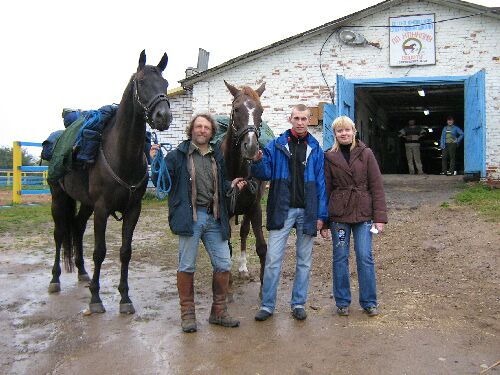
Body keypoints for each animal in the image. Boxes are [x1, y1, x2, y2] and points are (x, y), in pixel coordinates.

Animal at [48, 50, 173, 314]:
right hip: (59, 198)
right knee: (60, 232)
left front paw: (125, 298)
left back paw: (82, 272)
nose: (164, 116)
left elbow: (125, 252)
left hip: (85, 204)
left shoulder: (133, 209)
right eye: (141, 82)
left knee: (77, 227)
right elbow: (100, 252)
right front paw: (95, 299)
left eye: (166, 83)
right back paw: (55, 279)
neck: (122, 154)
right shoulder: (102, 208)